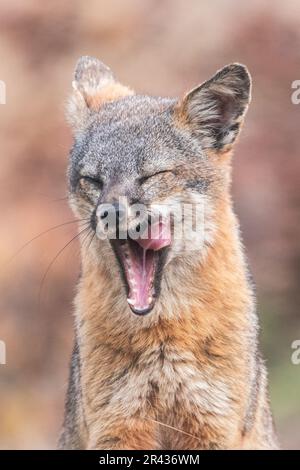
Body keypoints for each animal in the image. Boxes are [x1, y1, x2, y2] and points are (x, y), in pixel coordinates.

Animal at [58, 57, 278, 450]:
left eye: (152, 176)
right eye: (93, 180)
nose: (108, 213)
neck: (162, 340)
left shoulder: (212, 428)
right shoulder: (117, 429)